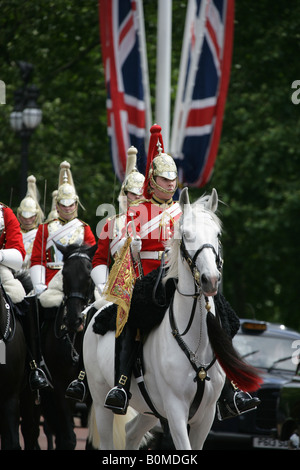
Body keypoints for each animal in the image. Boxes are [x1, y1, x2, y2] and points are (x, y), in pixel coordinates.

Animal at [83, 189, 256, 450]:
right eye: (185, 235)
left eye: (217, 234)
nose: (210, 280)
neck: (196, 341)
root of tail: (100, 307)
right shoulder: (175, 411)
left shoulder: (205, 416)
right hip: (101, 396)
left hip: (150, 410)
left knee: (132, 433)